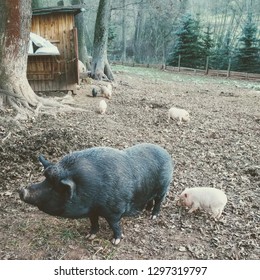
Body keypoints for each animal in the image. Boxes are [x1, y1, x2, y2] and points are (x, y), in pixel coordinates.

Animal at [19, 143, 174, 244]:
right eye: (44, 180)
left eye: (54, 187)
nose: (21, 190)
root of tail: (167, 154)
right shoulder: (92, 210)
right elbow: (93, 222)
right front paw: (89, 237)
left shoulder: (115, 211)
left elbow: (115, 225)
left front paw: (115, 241)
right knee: (150, 200)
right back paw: (146, 210)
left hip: (164, 187)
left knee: (159, 201)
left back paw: (153, 216)